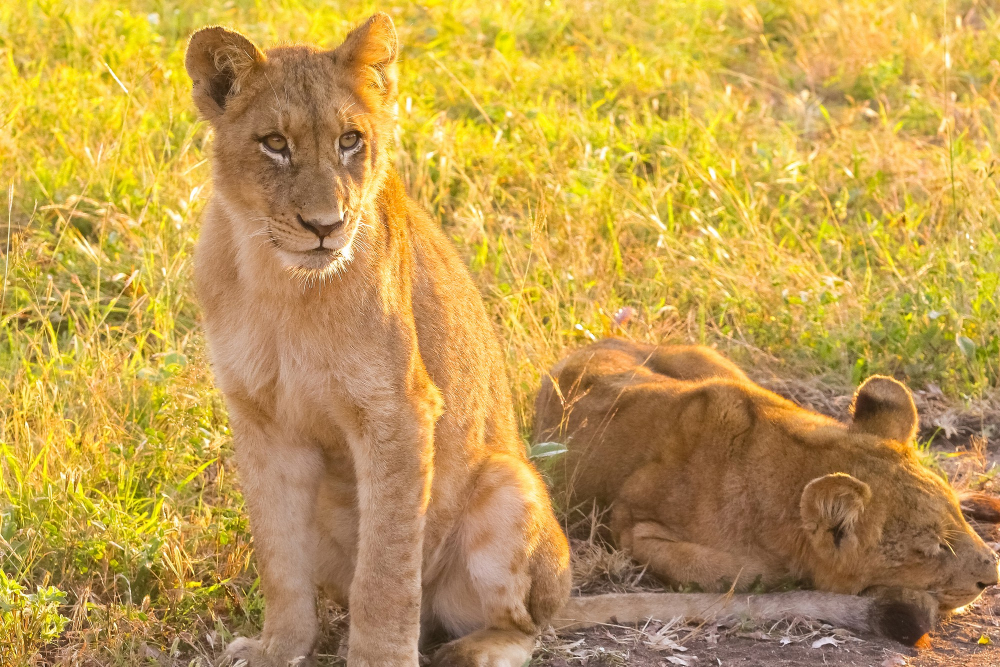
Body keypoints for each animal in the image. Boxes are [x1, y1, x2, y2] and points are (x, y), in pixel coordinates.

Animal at [184, 15, 570, 667]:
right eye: (274, 143)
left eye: (350, 141)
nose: (325, 226)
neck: (281, 286)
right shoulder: (260, 419)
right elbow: (278, 558)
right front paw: (277, 648)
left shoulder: (399, 412)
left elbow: (386, 570)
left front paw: (377, 657)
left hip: (510, 484)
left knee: (527, 627)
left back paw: (468, 651)